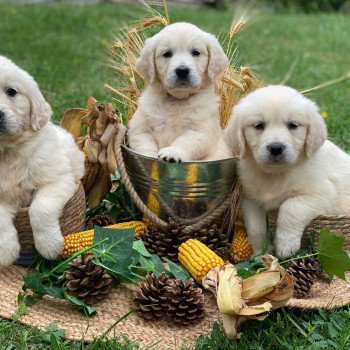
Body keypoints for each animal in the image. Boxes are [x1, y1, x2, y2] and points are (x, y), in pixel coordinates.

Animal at [0, 56, 85, 266]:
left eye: (11, 92)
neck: (7, 153)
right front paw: (6, 252)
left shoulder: (59, 180)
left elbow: (40, 208)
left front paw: (50, 246)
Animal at [129, 22, 232, 162]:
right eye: (167, 53)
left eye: (196, 52)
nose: (182, 70)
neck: (176, 101)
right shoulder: (140, 129)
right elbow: (145, 146)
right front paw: (148, 158)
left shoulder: (200, 132)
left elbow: (184, 141)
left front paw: (172, 152)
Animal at [223, 85, 350, 258]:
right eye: (258, 125)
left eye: (293, 125)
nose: (276, 148)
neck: (276, 174)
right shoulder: (250, 199)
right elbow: (256, 228)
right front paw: (260, 253)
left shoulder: (323, 194)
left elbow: (290, 207)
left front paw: (285, 245)